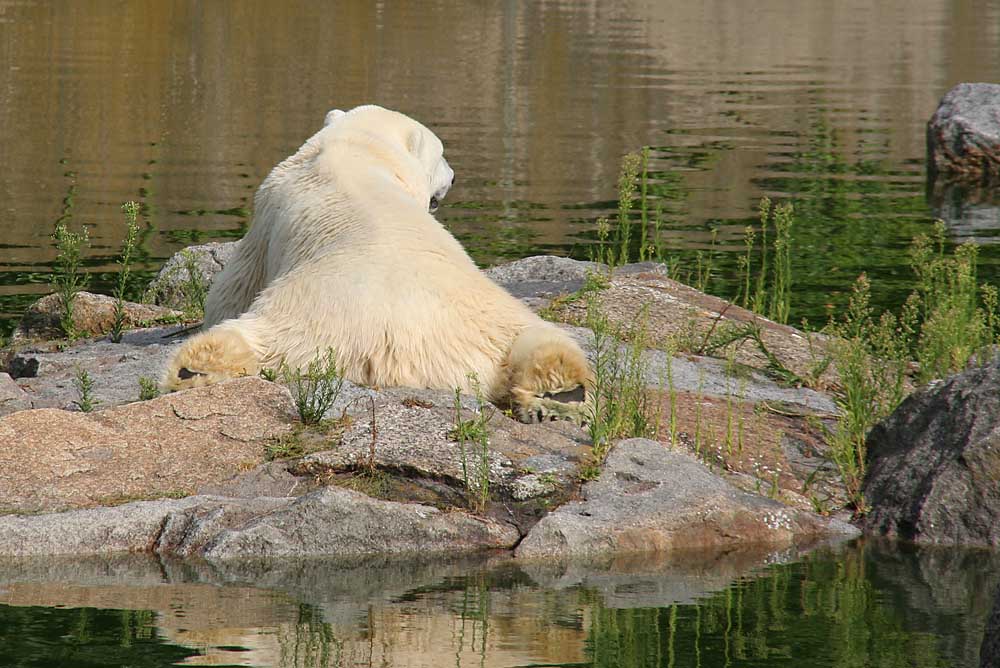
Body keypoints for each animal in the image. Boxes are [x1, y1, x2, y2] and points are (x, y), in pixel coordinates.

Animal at [160, 104, 588, 422]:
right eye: (443, 156)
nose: (454, 176)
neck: (357, 149)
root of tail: (397, 352)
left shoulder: (268, 210)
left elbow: (233, 286)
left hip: (301, 319)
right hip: (491, 321)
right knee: (542, 342)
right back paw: (560, 398)